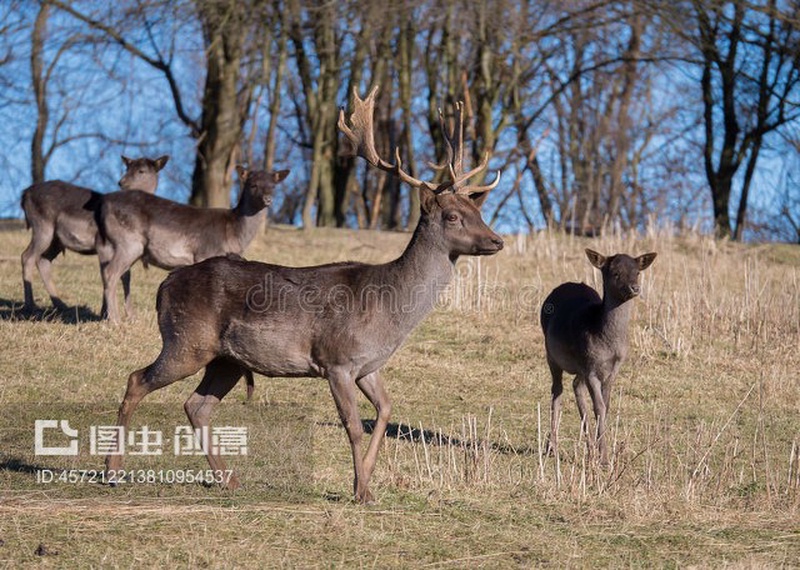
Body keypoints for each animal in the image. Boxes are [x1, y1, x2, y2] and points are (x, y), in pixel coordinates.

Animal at [20, 155, 169, 313]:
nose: (121, 182)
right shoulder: (102, 244)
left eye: (142, 170)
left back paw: (61, 304)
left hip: (56, 240)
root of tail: (25, 194)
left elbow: (125, 275)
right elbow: (109, 273)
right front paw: (105, 312)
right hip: (42, 226)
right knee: (27, 256)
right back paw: (30, 305)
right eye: (127, 168)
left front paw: (128, 313)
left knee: (43, 259)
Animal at [96, 167, 289, 323]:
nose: (268, 199)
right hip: (129, 241)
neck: (234, 234)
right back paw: (114, 320)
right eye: (253, 185)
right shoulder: (205, 252)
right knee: (111, 272)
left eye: (273, 185)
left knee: (120, 274)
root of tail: (104, 204)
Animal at [541, 248, 657, 465]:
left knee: (575, 386)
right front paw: (603, 458)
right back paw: (551, 447)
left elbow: (606, 405)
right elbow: (599, 407)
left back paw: (588, 446)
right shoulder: (591, 369)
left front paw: (598, 451)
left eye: (637, 272)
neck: (608, 344)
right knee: (557, 391)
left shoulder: (613, 368)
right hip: (551, 353)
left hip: (579, 366)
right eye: (615, 273)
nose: (635, 288)